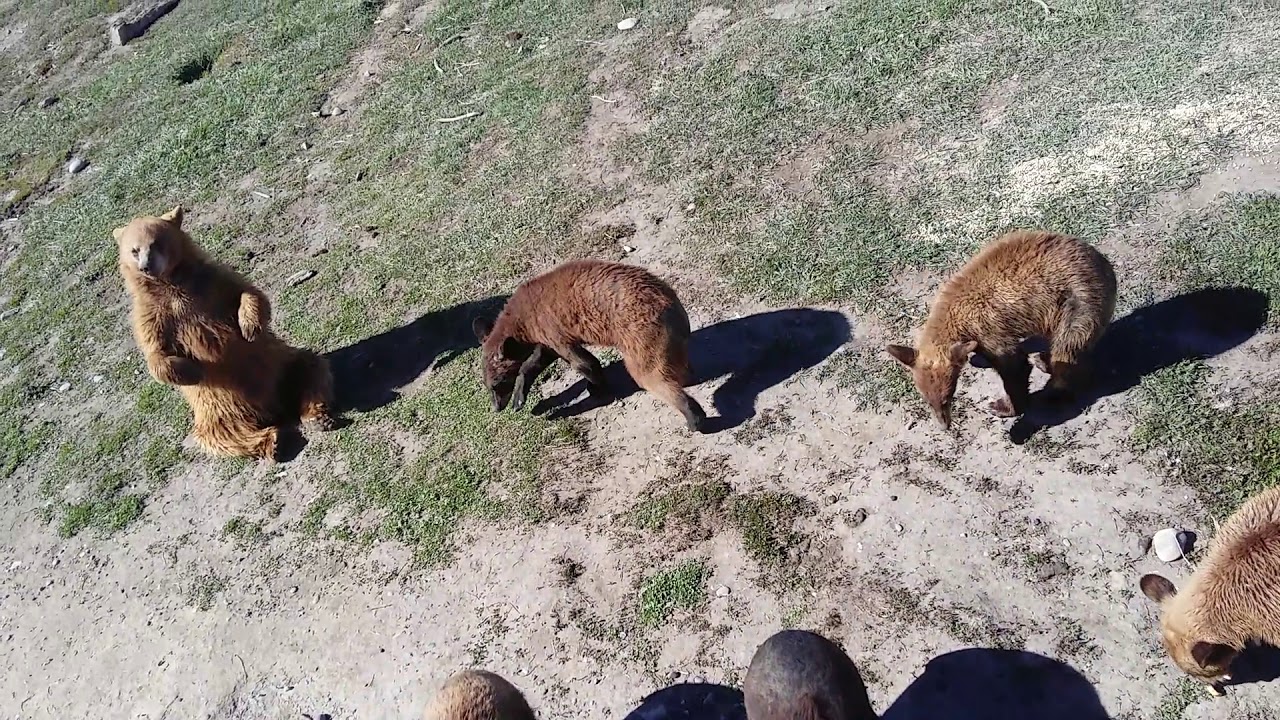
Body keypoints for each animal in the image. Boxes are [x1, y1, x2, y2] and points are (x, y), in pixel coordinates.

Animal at [114, 205, 336, 460]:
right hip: (218, 407)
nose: (146, 267)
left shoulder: (212, 283)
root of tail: (274, 409)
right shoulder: (153, 314)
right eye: (134, 250)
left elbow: (248, 293)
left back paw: (315, 417)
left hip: (281, 364)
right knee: (222, 435)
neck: (171, 285)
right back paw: (273, 441)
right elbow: (156, 351)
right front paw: (191, 370)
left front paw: (249, 327)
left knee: (311, 368)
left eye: (156, 243)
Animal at [471, 259, 708, 432]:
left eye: (496, 384)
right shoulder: (546, 338)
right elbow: (534, 363)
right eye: (488, 384)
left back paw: (695, 419)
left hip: (642, 336)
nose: (496, 407)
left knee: (652, 377)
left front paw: (597, 390)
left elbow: (584, 363)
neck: (522, 320)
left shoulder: (553, 329)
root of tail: (674, 307)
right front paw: (520, 399)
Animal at [887, 230, 1116, 429]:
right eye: (927, 400)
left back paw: (1052, 387)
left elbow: (1014, 367)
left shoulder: (989, 327)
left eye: (947, 397)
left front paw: (1003, 407)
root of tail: (1104, 263)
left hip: (1078, 301)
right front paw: (977, 359)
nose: (944, 425)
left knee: (1067, 349)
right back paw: (1044, 359)